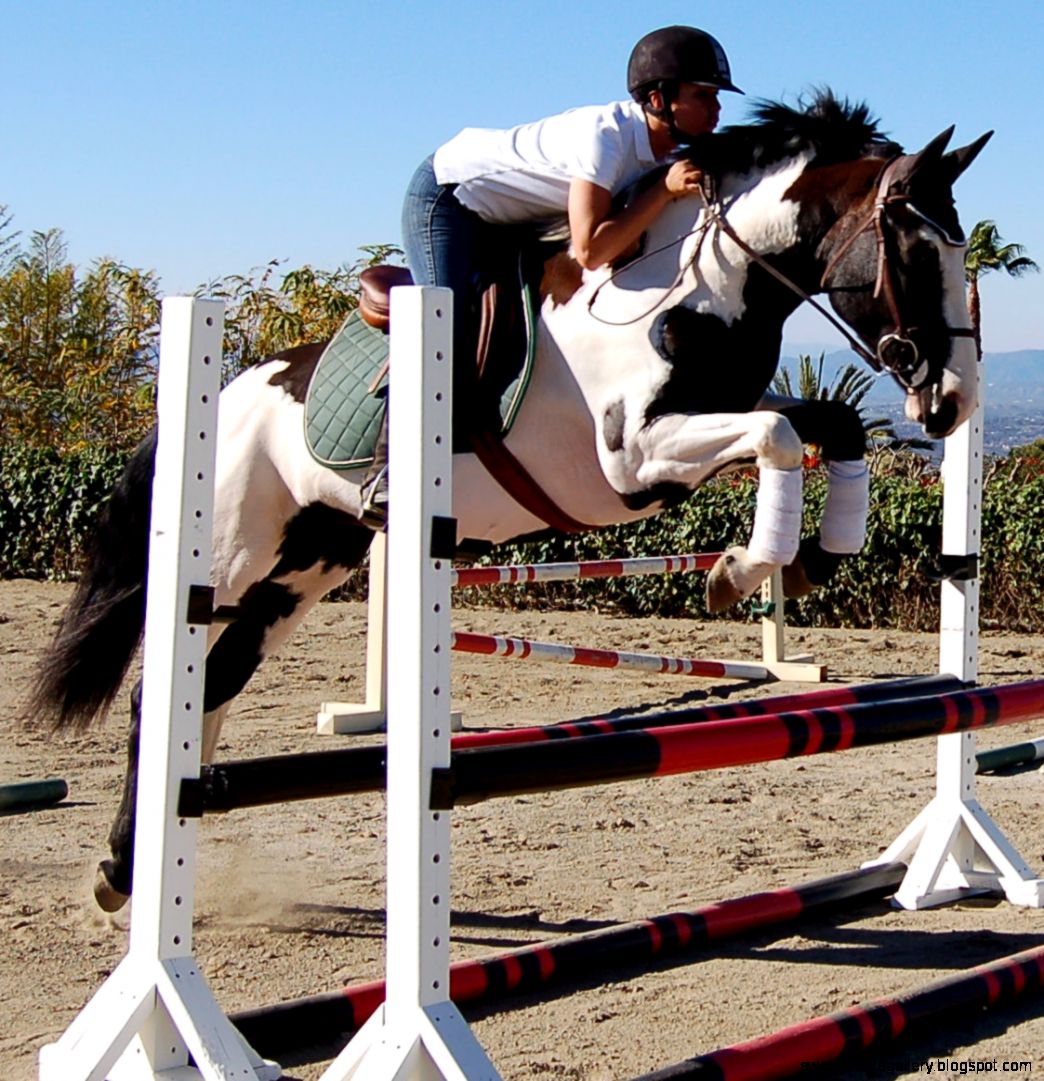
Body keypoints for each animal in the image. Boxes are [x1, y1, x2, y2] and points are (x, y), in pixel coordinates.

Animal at [30, 92, 989, 911]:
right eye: (916, 251)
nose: (952, 402)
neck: (697, 282)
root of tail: (222, 392)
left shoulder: (712, 421)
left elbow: (828, 424)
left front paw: (817, 554)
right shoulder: (635, 456)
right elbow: (785, 436)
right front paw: (738, 570)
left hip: (304, 569)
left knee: (214, 688)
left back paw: (138, 863)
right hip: (230, 559)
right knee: (163, 692)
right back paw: (122, 873)